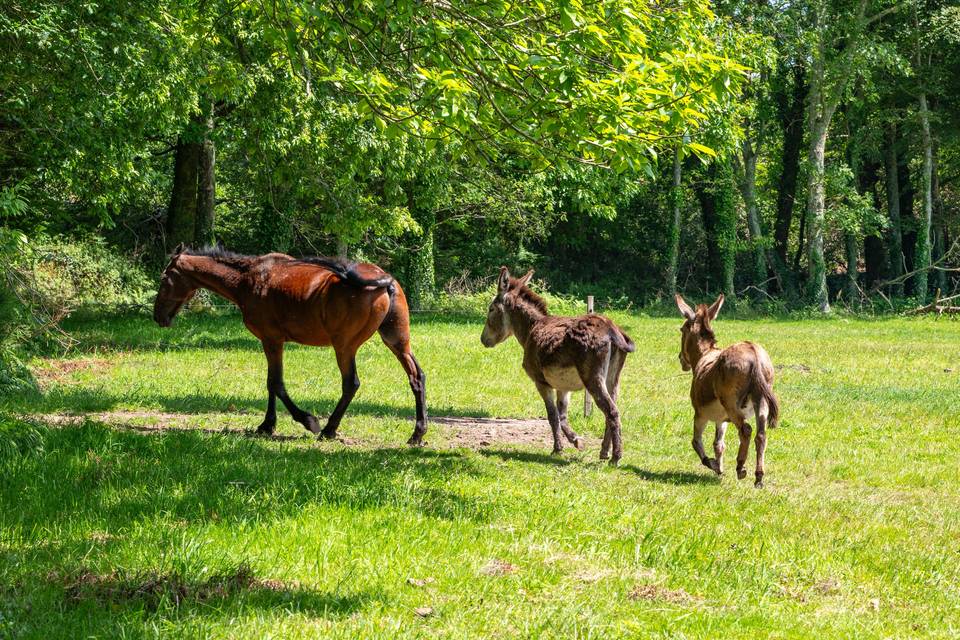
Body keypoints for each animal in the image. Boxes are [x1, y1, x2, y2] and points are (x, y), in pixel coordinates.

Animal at [152, 245, 426, 444]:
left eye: (165, 278)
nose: (158, 317)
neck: (248, 279)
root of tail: (385, 281)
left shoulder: (271, 340)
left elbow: (276, 384)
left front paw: (306, 420)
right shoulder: (273, 343)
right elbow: (272, 384)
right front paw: (267, 425)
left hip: (344, 347)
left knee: (351, 384)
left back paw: (328, 429)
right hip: (397, 342)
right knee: (416, 377)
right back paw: (417, 434)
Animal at [484, 268, 632, 462]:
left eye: (491, 309)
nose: (483, 340)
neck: (532, 328)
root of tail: (610, 330)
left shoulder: (541, 382)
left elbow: (552, 415)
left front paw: (558, 449)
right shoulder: (563, 387)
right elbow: (562, 416)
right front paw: (576, 440)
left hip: (592, 378)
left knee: (612, 411)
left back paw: (616, 457)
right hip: (613, 378)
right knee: (611, 410)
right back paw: (604, 452)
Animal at [676, 294, 780, 484]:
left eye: (682, 329)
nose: (680, 358)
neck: (705, 355)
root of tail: (752, 351)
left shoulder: (700, 414)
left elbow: (696, 442)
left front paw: (713, 465)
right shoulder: (721, 419)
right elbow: (719, 444)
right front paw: (719, 467)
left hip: (732, 404)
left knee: (746, 430)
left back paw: (740, 467)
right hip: (761, 401)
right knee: (761, 435)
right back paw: (759, 476)